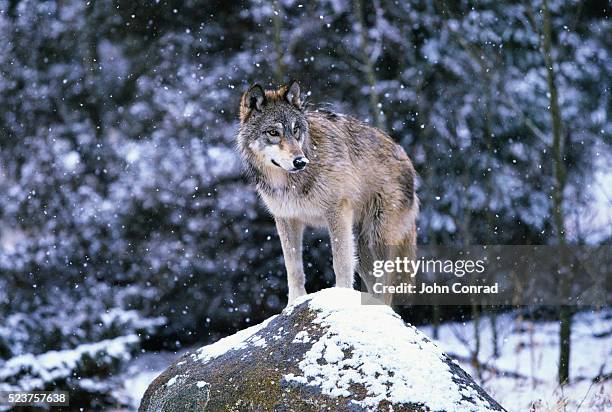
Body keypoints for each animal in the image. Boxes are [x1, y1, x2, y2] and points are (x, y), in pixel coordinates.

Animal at [237, 81, 418, 306]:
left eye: (295, 130)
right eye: (273, 132)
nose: (300, 161)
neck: (291, 183)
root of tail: (405, 156)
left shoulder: (337, 212)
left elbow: (340, 262)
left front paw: (341, 297)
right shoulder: (286, 219)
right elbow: (293, 267)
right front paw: (294, 302)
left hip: (377, 237)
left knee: (386, 284)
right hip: (362, 246)